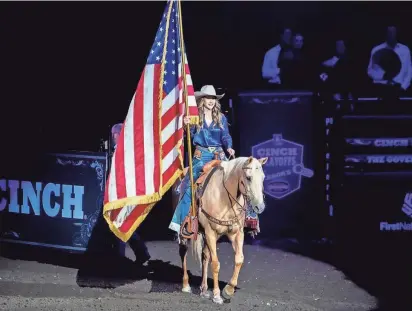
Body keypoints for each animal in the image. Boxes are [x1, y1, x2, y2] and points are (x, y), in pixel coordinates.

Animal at [171, 156, 268, 304]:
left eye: (263, 177)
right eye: (248, 177)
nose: (260, 207)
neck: (224, 197)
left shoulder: (236, 233)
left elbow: (239, 259)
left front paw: (228, 290)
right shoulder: (211, 232)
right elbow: (216, 264)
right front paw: (217, 295)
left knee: (205, 255)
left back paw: (204, 290)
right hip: (186, 234)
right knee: (183, 252)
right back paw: (186, 285)